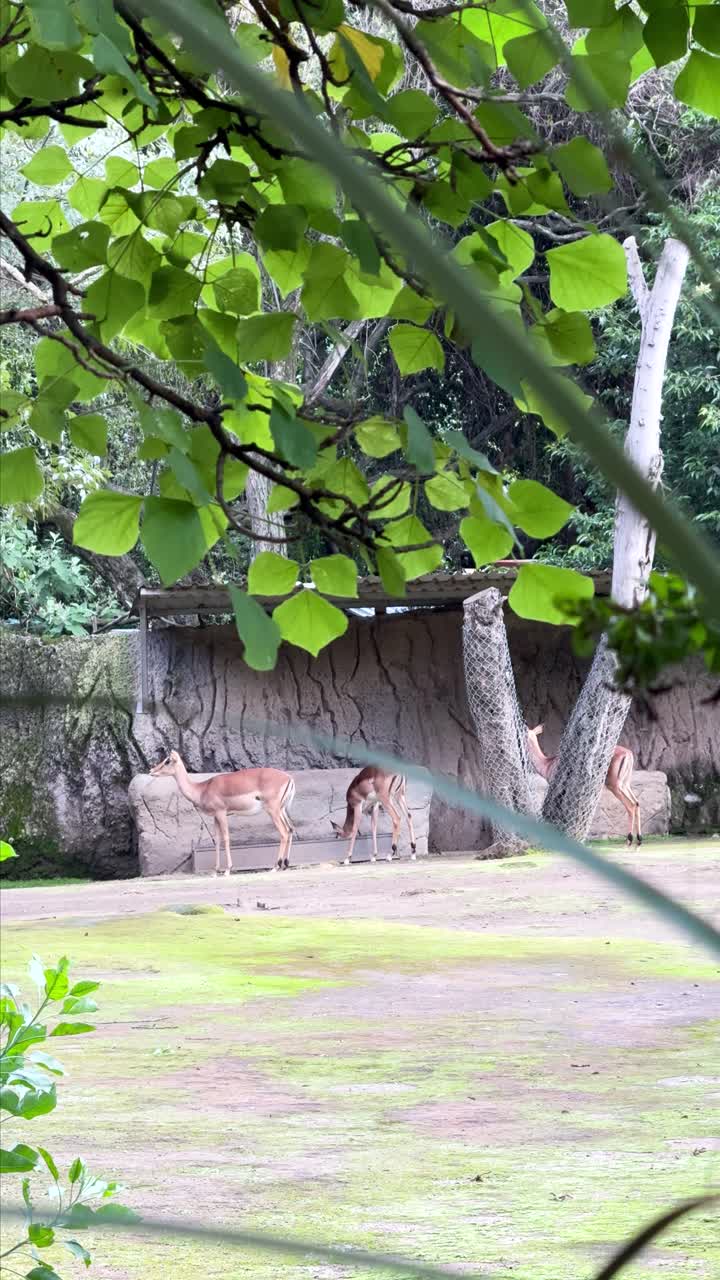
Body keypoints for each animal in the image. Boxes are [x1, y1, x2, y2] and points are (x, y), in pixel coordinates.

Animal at [150, 751, 295, 874]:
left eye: (167, 760)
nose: (151, 770)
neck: (202, 789)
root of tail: (289, 778)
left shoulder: (221, 813)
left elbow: (226, 838)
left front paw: (228, 869)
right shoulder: (215, 816)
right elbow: (217, 840)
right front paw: (216, 870)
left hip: (273, 810)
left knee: (283, 832)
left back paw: (275, 866)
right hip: (281, 810)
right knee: (290, 829)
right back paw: (285, 864)